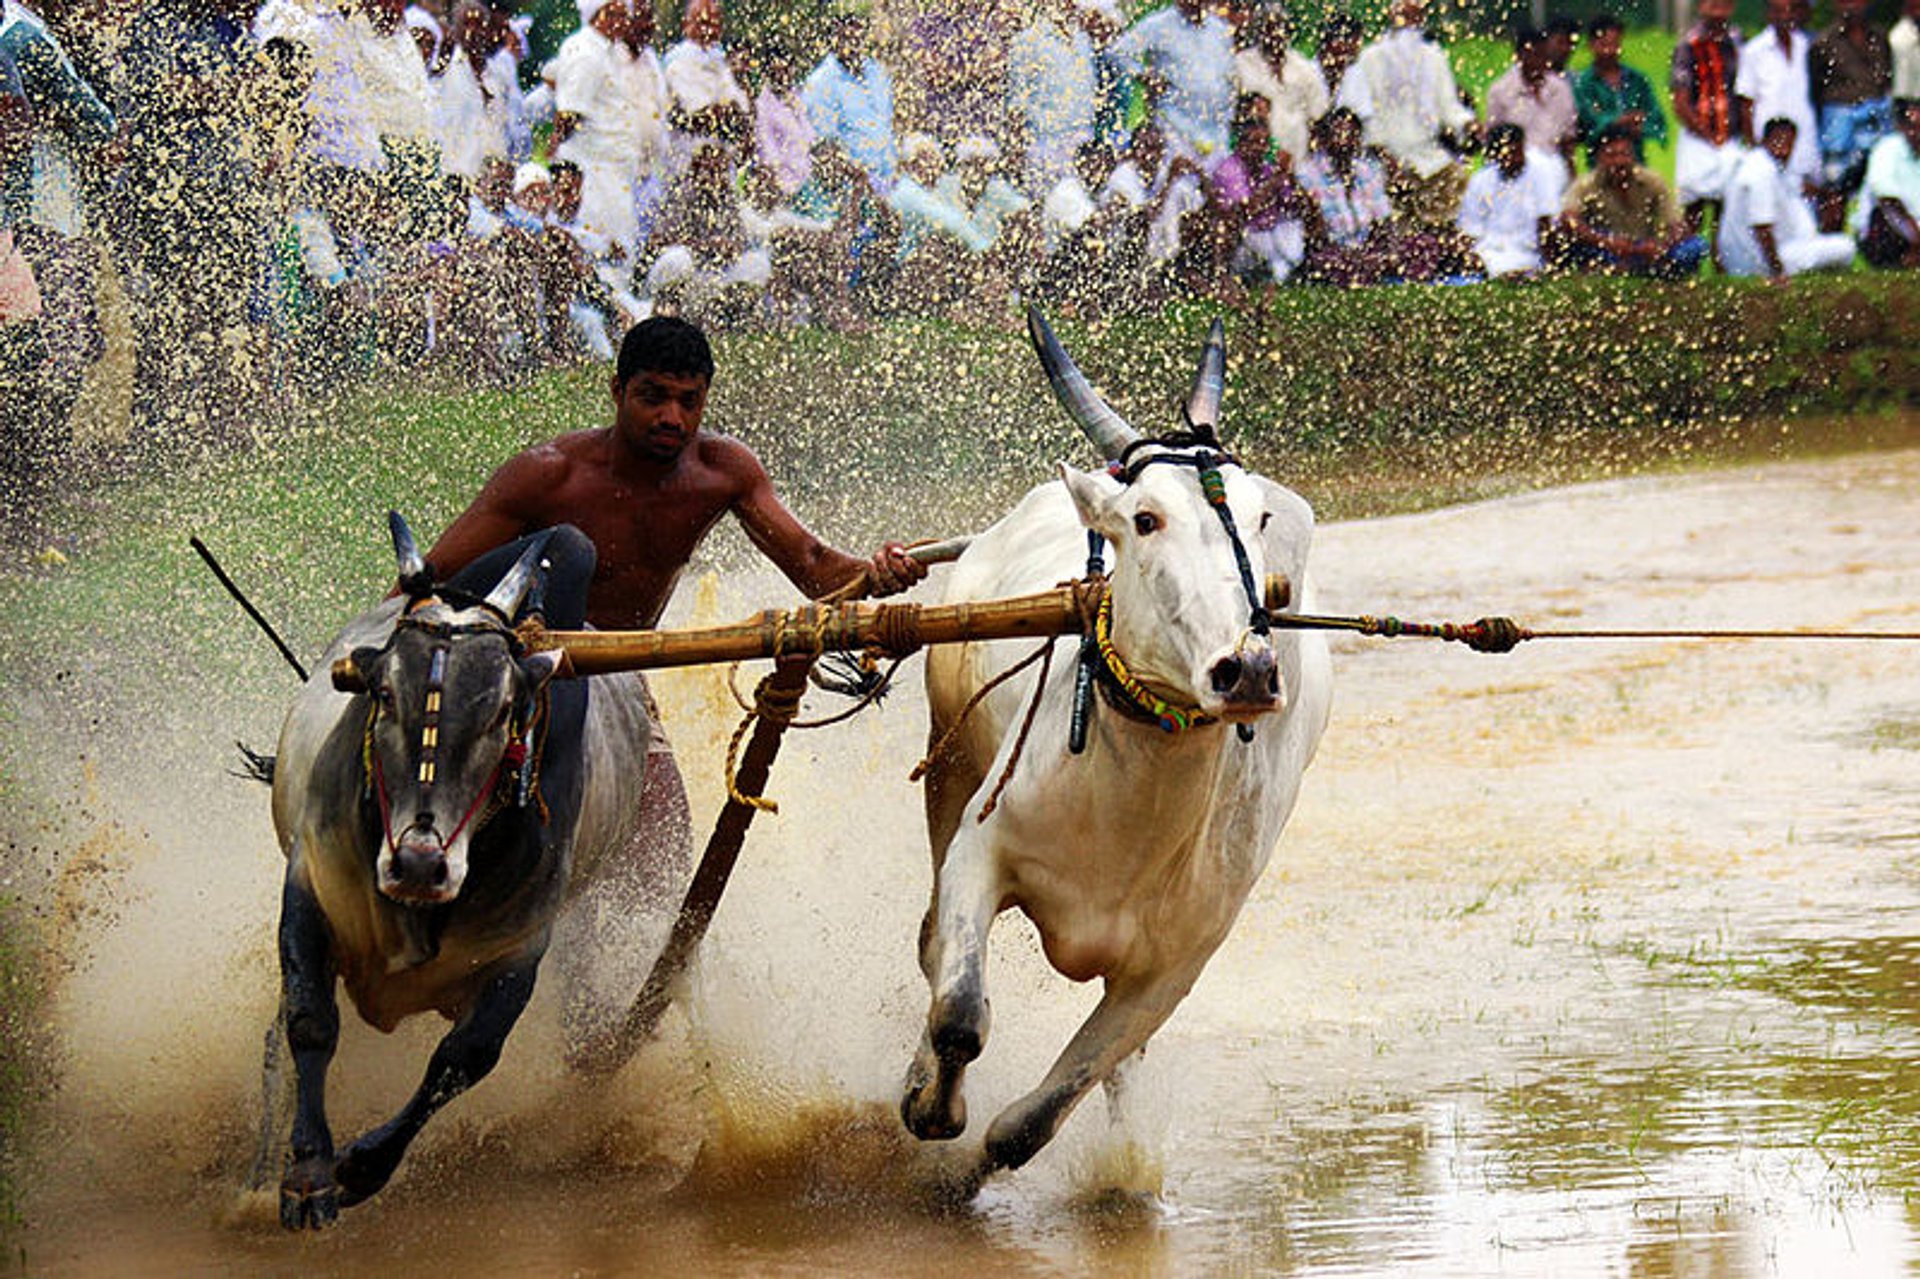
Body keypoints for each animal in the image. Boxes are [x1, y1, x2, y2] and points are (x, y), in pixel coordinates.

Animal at [263, 518, 656, 1229]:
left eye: (503, 711)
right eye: (384, 694)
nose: (420, 863)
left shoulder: (518, 951)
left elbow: (463, 1060)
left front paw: (363, 1165)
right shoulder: (311, 888)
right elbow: (309, 1019)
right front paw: (306, 1175)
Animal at [902, 309, 1328, 1167]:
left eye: (1260, 519)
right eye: (1145, 518)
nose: (1248, 669)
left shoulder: (1179, 960)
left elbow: (1041, 1113)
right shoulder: (979, 850)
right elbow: (959, 1011)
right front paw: (930, 1107)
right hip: (950, 764)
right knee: (932, 947)